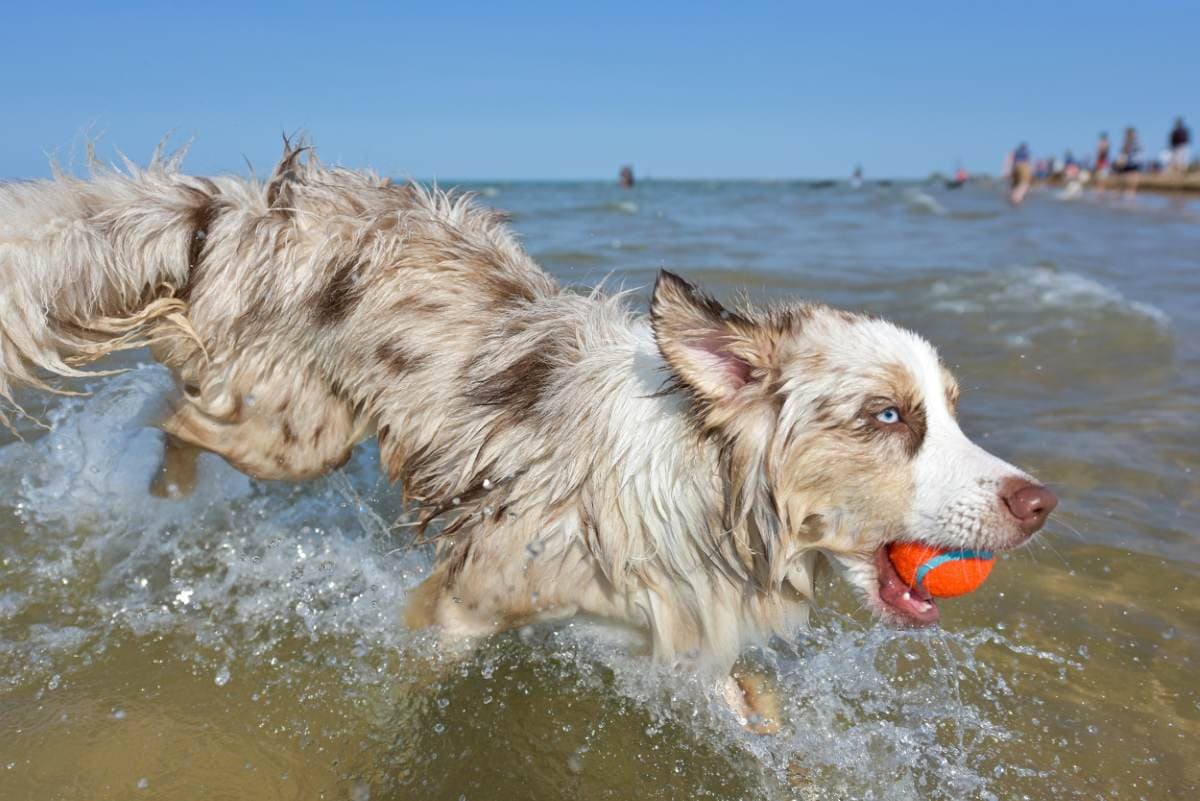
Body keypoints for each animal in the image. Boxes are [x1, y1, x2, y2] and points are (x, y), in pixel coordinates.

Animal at [0, 140, 1056, 729]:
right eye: (889, 416)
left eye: (950, 406)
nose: (1041, 502)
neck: (703, 486)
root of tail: (248, 201)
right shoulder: (464, 599)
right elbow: (417, 676)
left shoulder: (676, 620)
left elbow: (748, 706)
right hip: (296, 429)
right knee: (176, 410)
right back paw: (159, 496)